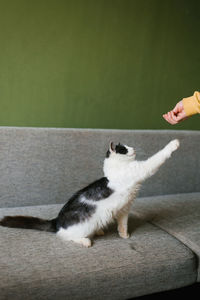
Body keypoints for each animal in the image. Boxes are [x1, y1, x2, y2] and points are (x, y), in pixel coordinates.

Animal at [0, 139, 180, 247]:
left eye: (128, 146)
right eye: (124, 149)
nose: (133, 148)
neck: (115, 170)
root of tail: (56, 220)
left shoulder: (124, 208)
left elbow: (123, 224)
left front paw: (124, 235)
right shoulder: (142, 169)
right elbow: (157, 158)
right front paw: (174, 144)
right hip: (84, 225)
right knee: (64, 236)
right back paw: (85, 240)